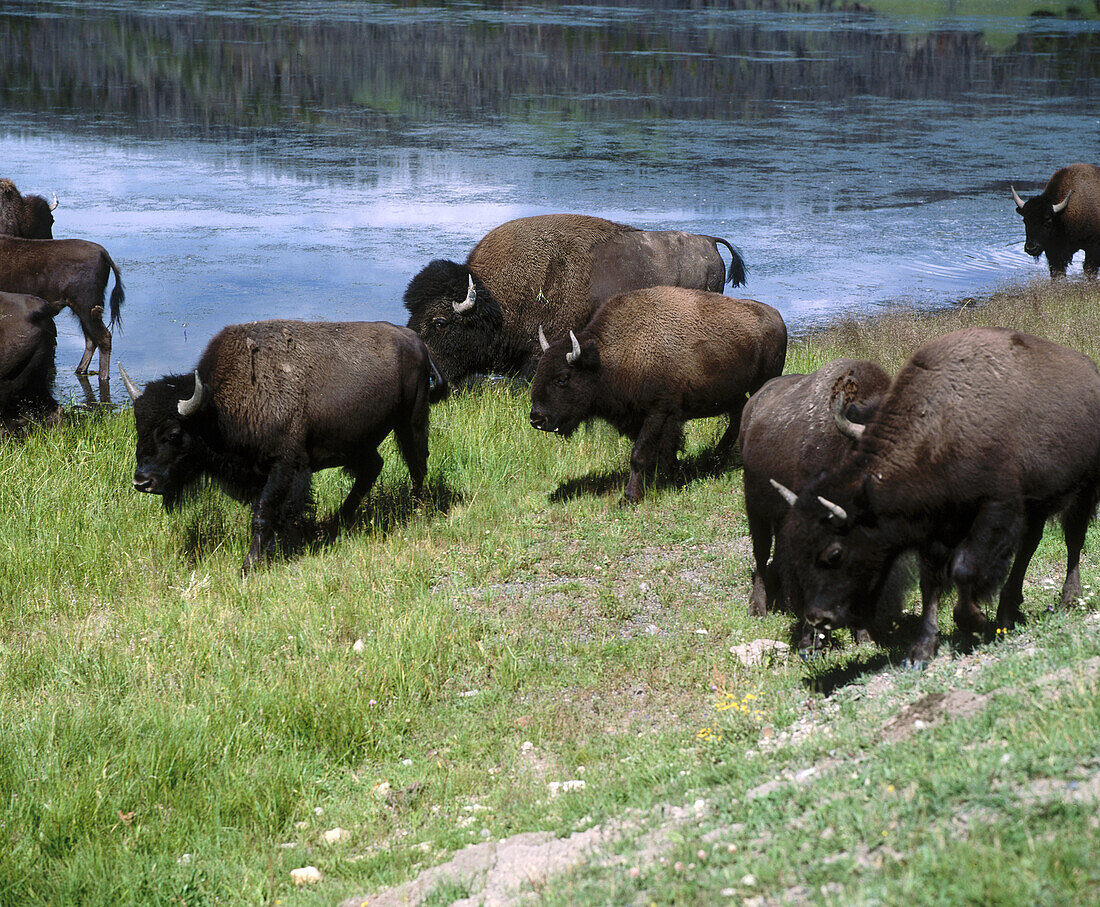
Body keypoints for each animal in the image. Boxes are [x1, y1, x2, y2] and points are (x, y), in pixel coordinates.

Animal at [0, 235, 123, 375]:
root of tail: (103, 252)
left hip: (85, 306)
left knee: (103, 337)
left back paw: (102, 376)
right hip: (82, 310)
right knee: (91, 339)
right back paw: (80, 370)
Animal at [120, 318, 446, 571]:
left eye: (174, 433)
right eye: (138, 427)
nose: (142, 481)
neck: (216, 408)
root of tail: (416, 340)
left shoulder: (285, 465)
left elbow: (264, 513)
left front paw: (250, 565)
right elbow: (270, 511)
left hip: (411, 420)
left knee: (417, 462)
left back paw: (417, 511)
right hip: (359, 441)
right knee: (372, 468)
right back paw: (337, 521)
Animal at [530, 285, 783, 503]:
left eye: (562, 378)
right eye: (538, 371)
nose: (536, 419)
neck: (608, 358)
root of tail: (776, 317)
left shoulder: (658, 413)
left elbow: (639, 455)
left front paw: (629, 497)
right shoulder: (640, 418)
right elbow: (664, 451)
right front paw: (676, 478)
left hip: (763, 382)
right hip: (733, 393)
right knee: (738, 415)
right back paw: (715, 460)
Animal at [770, 325, 1100, 664]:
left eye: (834, 553)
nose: (817, 617)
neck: (939, 428)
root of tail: (1091, 372)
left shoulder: (995, 508)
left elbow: (965, 569)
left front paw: (975, 623)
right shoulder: (936, 529)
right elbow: (931, 584)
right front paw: (922, 649)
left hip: (1085, 488)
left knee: (1073, 539)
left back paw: (1068, 599)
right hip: (1039, 504)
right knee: (1029, 546)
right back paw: (1009, 609)